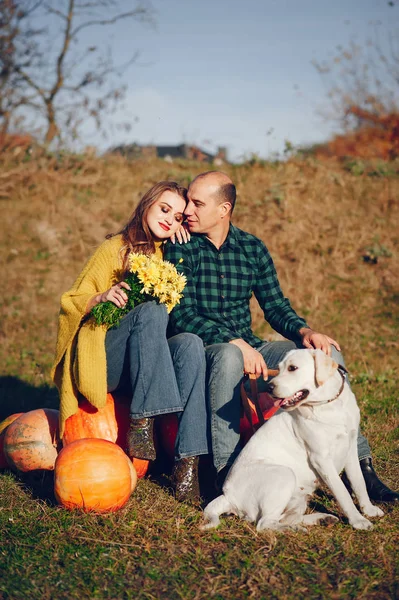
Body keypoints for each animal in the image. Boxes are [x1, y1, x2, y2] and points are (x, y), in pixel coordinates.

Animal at [203, 350, 384, 532]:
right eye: (279, 369)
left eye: (292, 368)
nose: (269, 387)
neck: (330, 406)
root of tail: (227, 495)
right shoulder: (321, 458)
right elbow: (342, 491)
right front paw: (358, 520)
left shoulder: (351, 449)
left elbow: (358, 482)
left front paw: (368, 510)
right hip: (284, 474)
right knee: (264, 523)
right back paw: (294, 530)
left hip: (298, 498)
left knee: (286, 518)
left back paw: (321, 519)